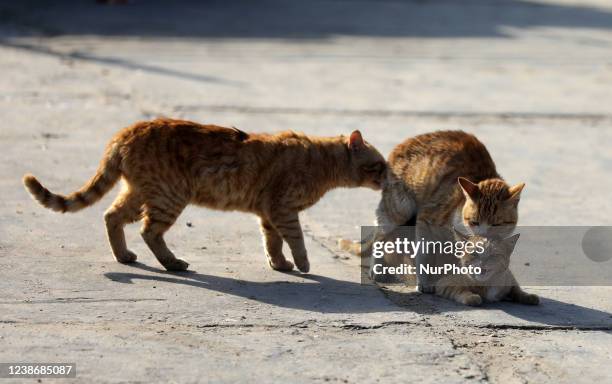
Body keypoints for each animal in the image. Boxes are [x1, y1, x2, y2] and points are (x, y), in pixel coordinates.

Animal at [26, 118, 388, 272]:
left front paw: (280, 264)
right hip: (169, 197)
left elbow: (272, 242)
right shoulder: (283, 209)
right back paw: (173, 263)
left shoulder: (268, 214)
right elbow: (296, 239)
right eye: (380, 165)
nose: (389, 179)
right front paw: (301, 263)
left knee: (112, 216)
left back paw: (124, 256)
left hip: (140, 193)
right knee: (149, 231)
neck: (322, 163)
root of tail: (127, 131)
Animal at [338, 129, 524, 292]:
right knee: (380, 235)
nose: (483, 236)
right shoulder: (426, 219)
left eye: (497, 224)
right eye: (474, 222)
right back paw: (377, 268)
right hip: (400, 209)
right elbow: (424, 255)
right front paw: (425, 282)